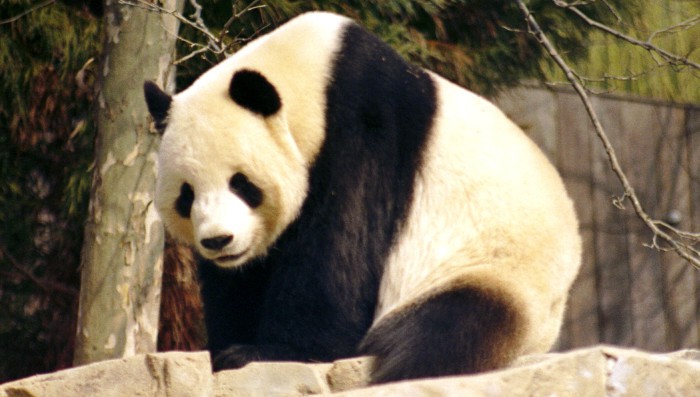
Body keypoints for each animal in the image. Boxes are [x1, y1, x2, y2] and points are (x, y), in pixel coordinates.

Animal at [142, 12, 580, 384]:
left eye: (241, 183)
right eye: (187, 195)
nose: (219, 241)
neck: (312, 77)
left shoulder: (364, 132)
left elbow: (339, 251)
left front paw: (267, 352)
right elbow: (240, 280)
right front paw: (227, 348)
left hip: (493, 270)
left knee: (446, 331)